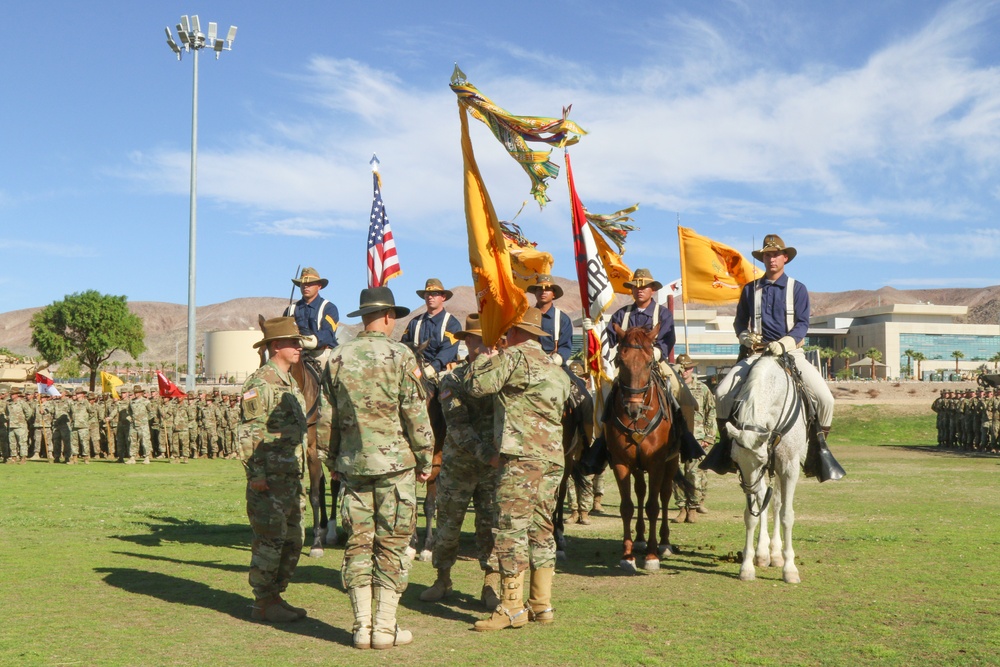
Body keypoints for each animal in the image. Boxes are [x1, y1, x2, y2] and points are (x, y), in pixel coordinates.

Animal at [600, 324, 680, 576]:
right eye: (621, 362)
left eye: (647, 363)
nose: (633, 409)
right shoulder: (621, 463)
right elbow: (627, 507)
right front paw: (627, 556)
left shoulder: (656, 463)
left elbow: (653, 506)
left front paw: (652, 556)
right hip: (637, 466)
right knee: (641, 491)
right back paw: (640, 539)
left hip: (671, 462)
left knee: (664, 495)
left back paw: (663, 543)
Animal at [724, 354, 808, 584]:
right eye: (735, 459)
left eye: (761, 459)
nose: (749, 489)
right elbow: (751, 515)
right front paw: (746, 567)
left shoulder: (789, 468)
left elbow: (787, 515)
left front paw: (790, 569)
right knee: (764, 500)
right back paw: (763, 554)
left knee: (776, 504)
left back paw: (776, 554)